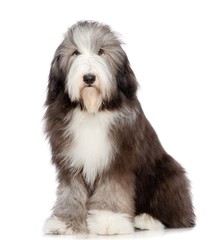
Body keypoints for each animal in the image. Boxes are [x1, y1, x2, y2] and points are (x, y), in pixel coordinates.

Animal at [43, 20, 195, 234]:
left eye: (101, 51)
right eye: (75, 52)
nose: (89, 78)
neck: (93, 110)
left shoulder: (118, 159)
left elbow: (113, 189)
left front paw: (108, 220)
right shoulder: (70, 160)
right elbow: (71, 191)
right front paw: (66, 222)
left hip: (168, 173)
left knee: (176, 215)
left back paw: (147, 220)